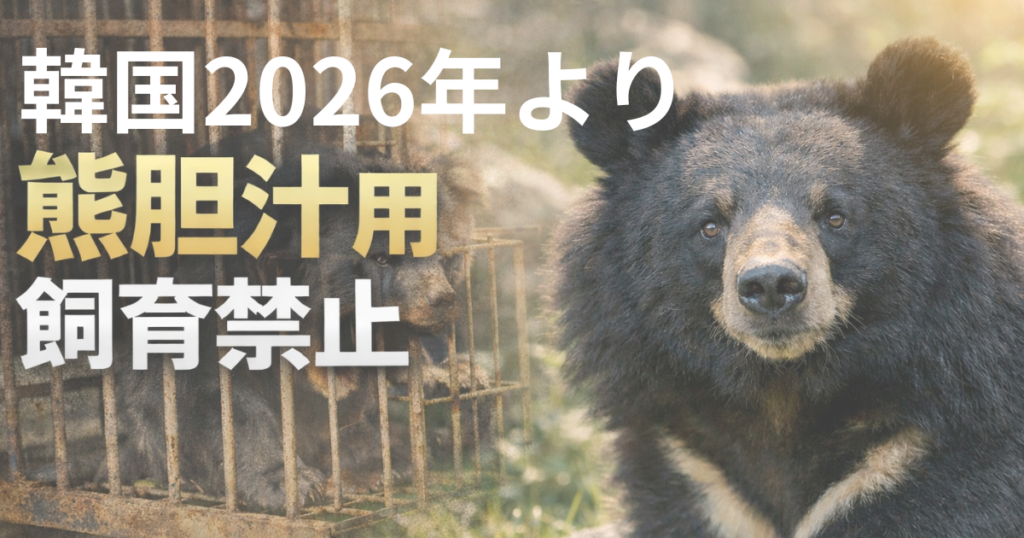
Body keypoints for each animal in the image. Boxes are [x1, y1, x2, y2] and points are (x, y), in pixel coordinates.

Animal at [555, 37, 1024, 538]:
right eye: (710, 225)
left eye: (835, 216)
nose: (771, 284)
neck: (783, 393)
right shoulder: (694, 472)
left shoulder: (920, 456)